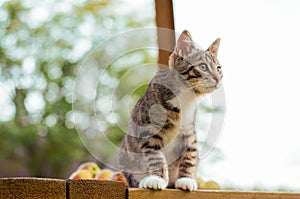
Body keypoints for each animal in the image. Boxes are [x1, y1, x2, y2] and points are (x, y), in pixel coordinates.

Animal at [119, 29, 223, 191]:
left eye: (219, 68)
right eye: (203, 67)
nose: (218, 78)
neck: (186, 96)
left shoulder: (189, 130)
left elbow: (190, 155)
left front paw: (186, 179)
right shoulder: (147, 131)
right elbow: (155, 156)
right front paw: (158, 178)